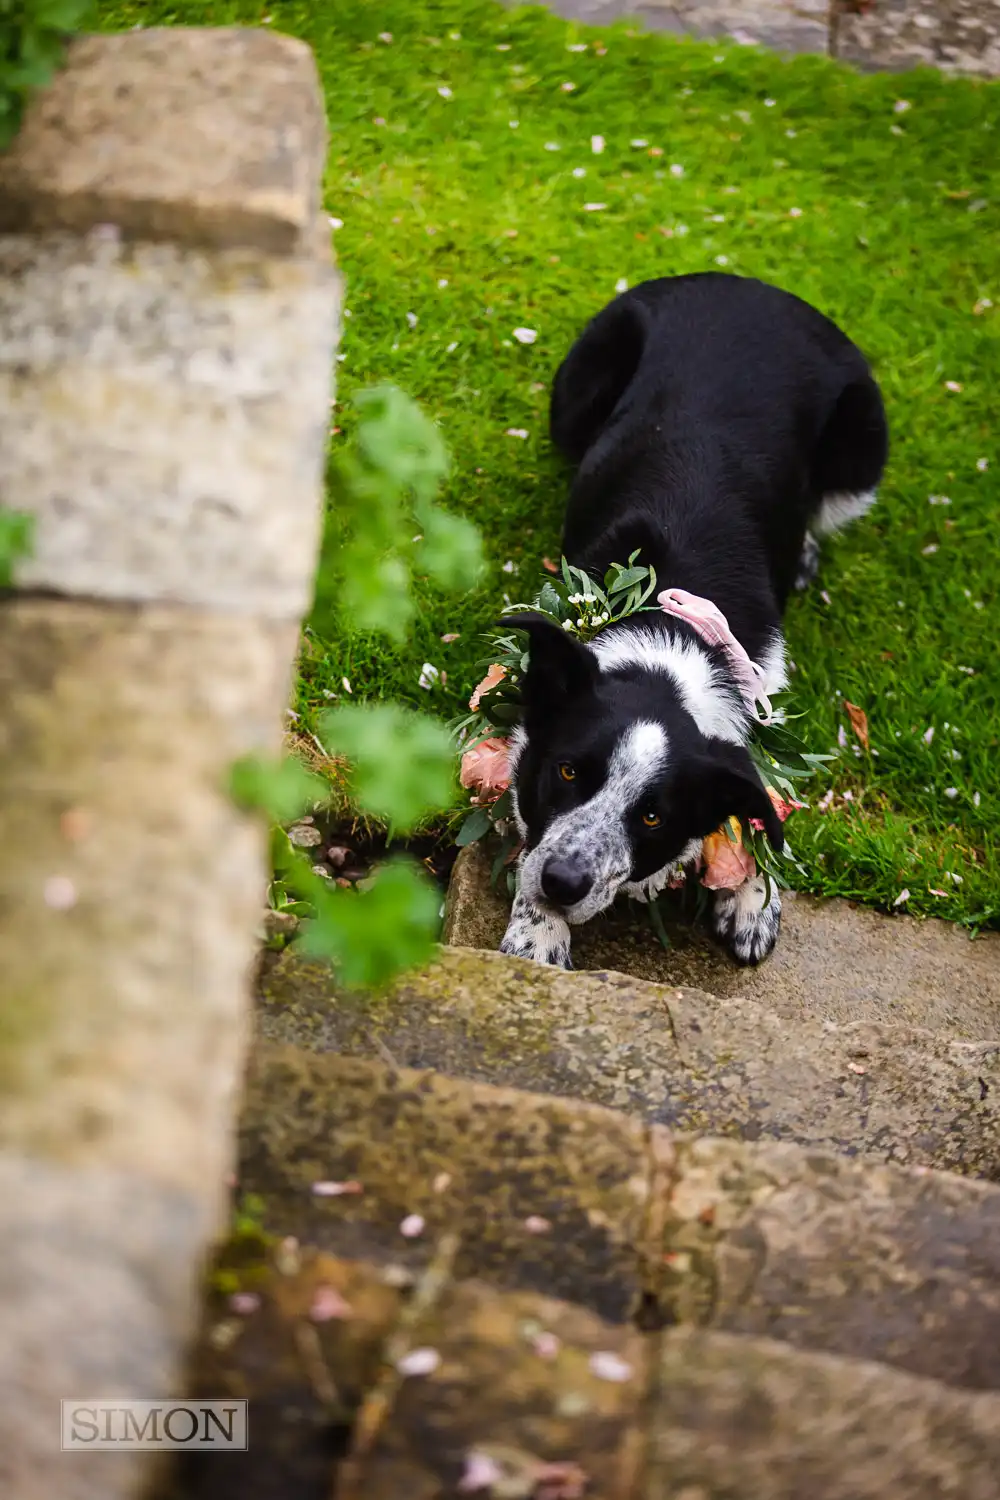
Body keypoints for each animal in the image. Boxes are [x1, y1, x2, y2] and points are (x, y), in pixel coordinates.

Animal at [503, 271, 887, 972]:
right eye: (568, 772)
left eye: (654, 817)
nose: (562, 884)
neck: (674, 624)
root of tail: (750, 284)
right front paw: (538, 931)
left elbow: (755, 804)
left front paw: (753, 896)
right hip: (572, 395)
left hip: (864, 447)